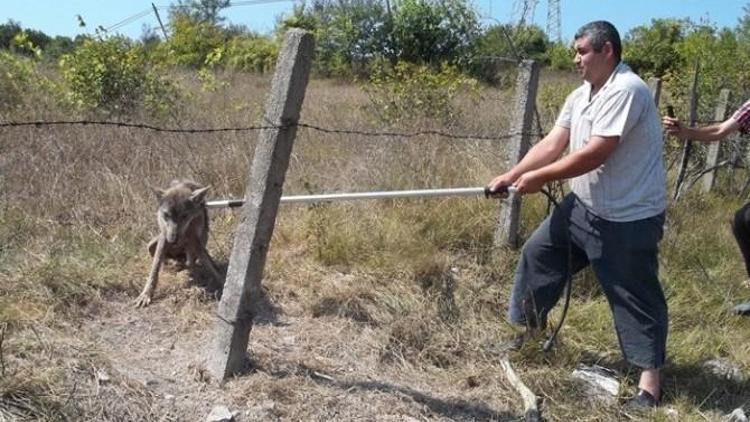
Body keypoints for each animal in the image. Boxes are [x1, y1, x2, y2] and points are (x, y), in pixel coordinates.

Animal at [137, 178, 223, 306]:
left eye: (184, 216)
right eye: (166, 215)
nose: (173, 241)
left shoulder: (194, 239)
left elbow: (205, 265)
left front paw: (221, 283)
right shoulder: (164, 236)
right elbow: (155, 267)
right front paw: (146, 294)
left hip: (201, 240)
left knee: (192, 261)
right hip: (151, 244)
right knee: (169, 262)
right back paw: (174, 264)